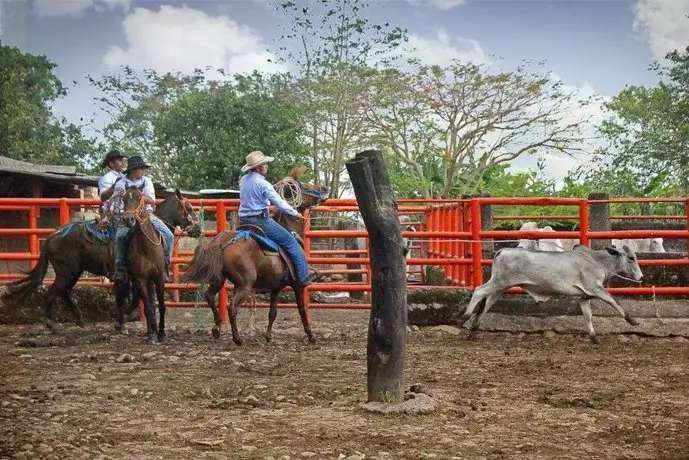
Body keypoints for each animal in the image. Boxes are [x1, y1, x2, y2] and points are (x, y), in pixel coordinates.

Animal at [6, 189, 200, 328]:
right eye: (190, 208)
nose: (198, 229)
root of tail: (52, 236)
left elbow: (132, 297)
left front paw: (123, 318)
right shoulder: (129, 276)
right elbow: (129, 297)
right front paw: (122, 319)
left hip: (74, 272)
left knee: (64, 292)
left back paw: (79, 318)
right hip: (66, 272)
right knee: (54, 292)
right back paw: (50, 323)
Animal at [183, 169, 328, 344]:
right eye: (305, 186)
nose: (324, 189)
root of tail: (222, 242)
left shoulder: (276, 287)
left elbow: (273, 312)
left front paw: (268, 336)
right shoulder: (297, 285)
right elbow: (302, 310)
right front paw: (311, 335)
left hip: (219, 278)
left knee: (210, 296)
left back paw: (217, 328)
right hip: (245, 284)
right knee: (232, 307)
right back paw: (237, 339)